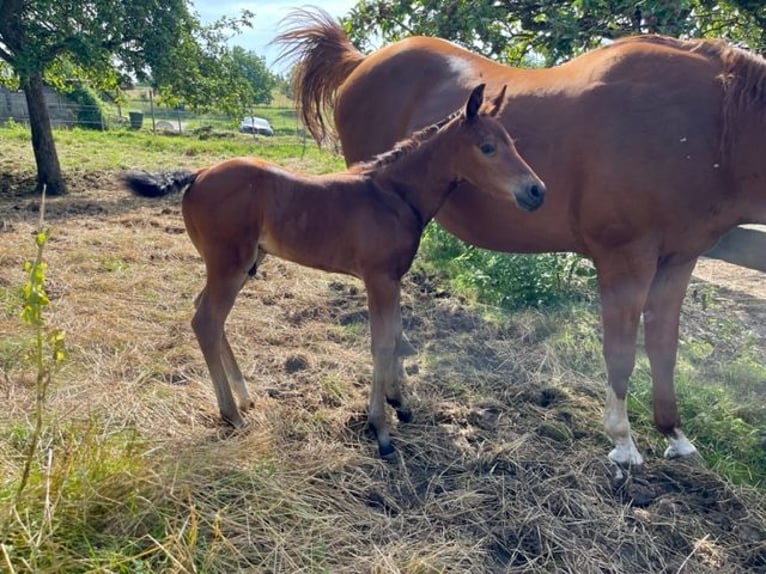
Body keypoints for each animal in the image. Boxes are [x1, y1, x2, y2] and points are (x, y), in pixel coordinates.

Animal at [123, 84, 544, 460]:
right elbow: (382, 342)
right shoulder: (378, 279)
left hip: (237, 265)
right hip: (229, 264)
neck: (395, 196)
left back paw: (245, 398)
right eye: (487, 147)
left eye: (511, 142)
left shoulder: (393, 279)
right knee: (206, 321)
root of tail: (199, 173)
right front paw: (380, 430)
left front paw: (400, 402)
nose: (536, 191)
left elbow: (397, 335)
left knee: (207, 314)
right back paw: (232, 416)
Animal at [276, 7, 766, 468]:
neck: (704, 126)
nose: (535, 191)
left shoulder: (678, 260)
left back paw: (398, 402)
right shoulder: (626, 259)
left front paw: (675, 435)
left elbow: (665, 348)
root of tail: (362, 61)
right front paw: (623, 443)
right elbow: (621, 353)